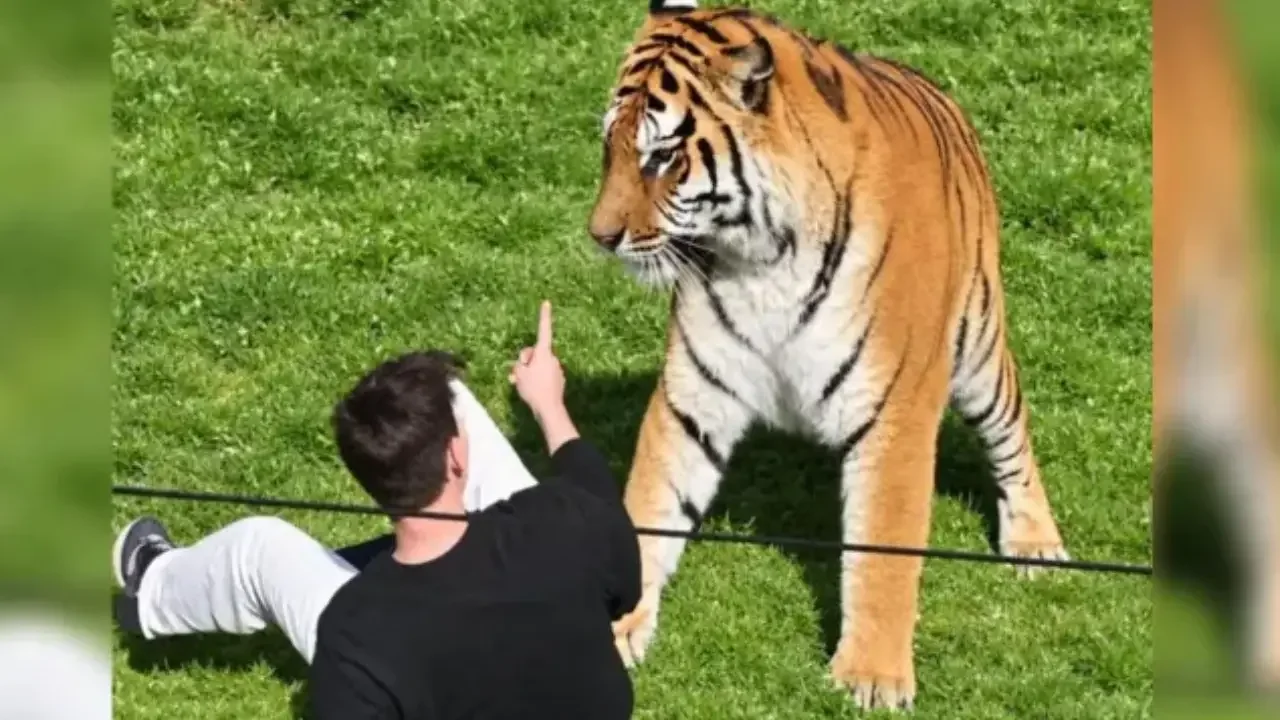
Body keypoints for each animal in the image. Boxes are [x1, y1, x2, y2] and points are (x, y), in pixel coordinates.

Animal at [584, 0, 1071, 710]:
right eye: (610, 147)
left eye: (663, 157)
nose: (601, 237)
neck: (762, 257)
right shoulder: (693, 395)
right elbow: (651, 506)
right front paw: (613, 628)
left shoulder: (895, 408)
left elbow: (883, 548)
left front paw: (870, 677)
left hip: (979, 344)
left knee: (1012, 435)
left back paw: (1036, 544)